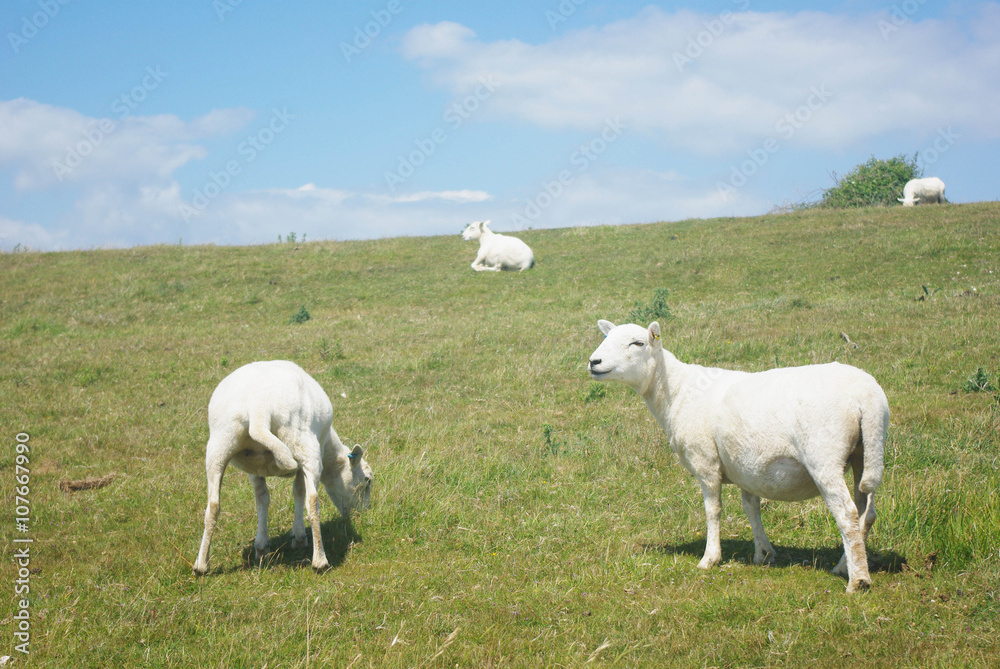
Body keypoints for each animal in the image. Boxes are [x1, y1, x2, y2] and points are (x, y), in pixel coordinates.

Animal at [193, 360, 372, 575]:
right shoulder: (307, 460)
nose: (364, 512)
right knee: (313, 502)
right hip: (302, 442)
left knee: (213, 505)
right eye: (367, 481)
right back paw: (320, 560)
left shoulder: (255, 470)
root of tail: (259, 408)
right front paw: (299, 537)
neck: (329, 449)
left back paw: (201, 565)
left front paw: (262, 547)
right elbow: (299, 492)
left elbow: (262, 499)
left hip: (219, 444)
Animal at [588, 320, 889, 593]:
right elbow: (751, 508)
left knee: (847, 513)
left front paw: (710, 558)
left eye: (637, 343)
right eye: (606, 337)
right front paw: (763, 554)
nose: (593, 362)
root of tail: (868, 396)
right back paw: (844, 565)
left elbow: (713, 510)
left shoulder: (705, 461)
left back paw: (858, 580)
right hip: (866, 451)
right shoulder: (747, 466)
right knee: (866, 511)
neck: (675, 391)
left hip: (824, 456)